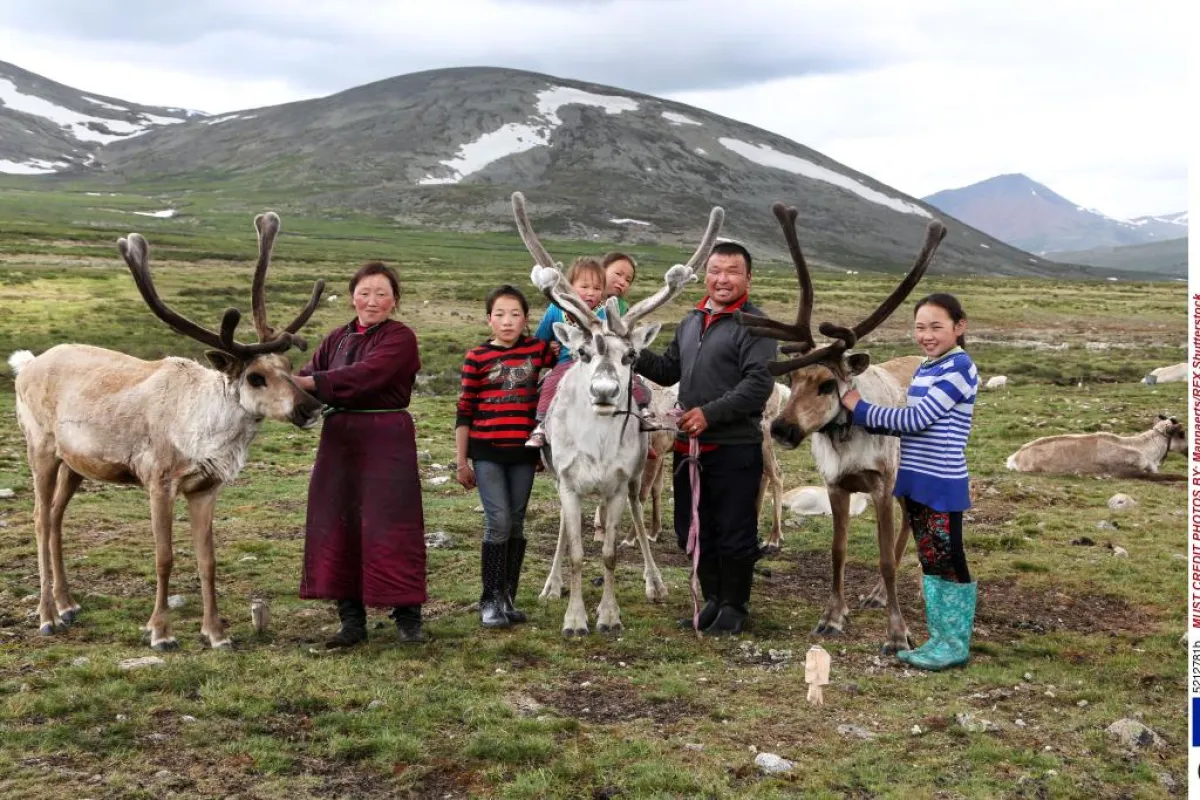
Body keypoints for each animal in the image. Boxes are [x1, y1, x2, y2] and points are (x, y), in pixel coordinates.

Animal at [10, 212, 325, 651]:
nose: (311, 407)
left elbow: (208, 559)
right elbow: (165, 557)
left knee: (56, 517)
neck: (202, 432)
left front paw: (216, 633)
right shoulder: (159, 481)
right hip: (40, 447)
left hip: (75, 464)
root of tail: (27, 365)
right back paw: (47, 616)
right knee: (40, 518)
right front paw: (159, 631)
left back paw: (68, 604)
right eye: (256, 377)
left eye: (289, 366)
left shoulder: (206, 487)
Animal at [511, 191, 723, 635]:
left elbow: (609, 555)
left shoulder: (617, 484)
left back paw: (654, 581)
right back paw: (551, 584)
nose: (605, 391)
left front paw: (608, 615)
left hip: (636, 476)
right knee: (564, 528)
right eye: (582, 352)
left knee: (641, 516)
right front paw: (574, 618)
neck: (596, 447)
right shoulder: (569, 483)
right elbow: (577, 553)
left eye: (631, 356)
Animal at [737, 202, 947, 654]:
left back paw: (892, 594)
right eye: (794, 377)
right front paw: (833, 616)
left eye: (827, 383)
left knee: (910, 526)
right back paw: (875, 595)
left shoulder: (882, 484)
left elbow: (885, 559)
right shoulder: (836, 484)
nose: (781, 428)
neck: (847, 437)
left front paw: (897, 632)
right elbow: (838, 550)